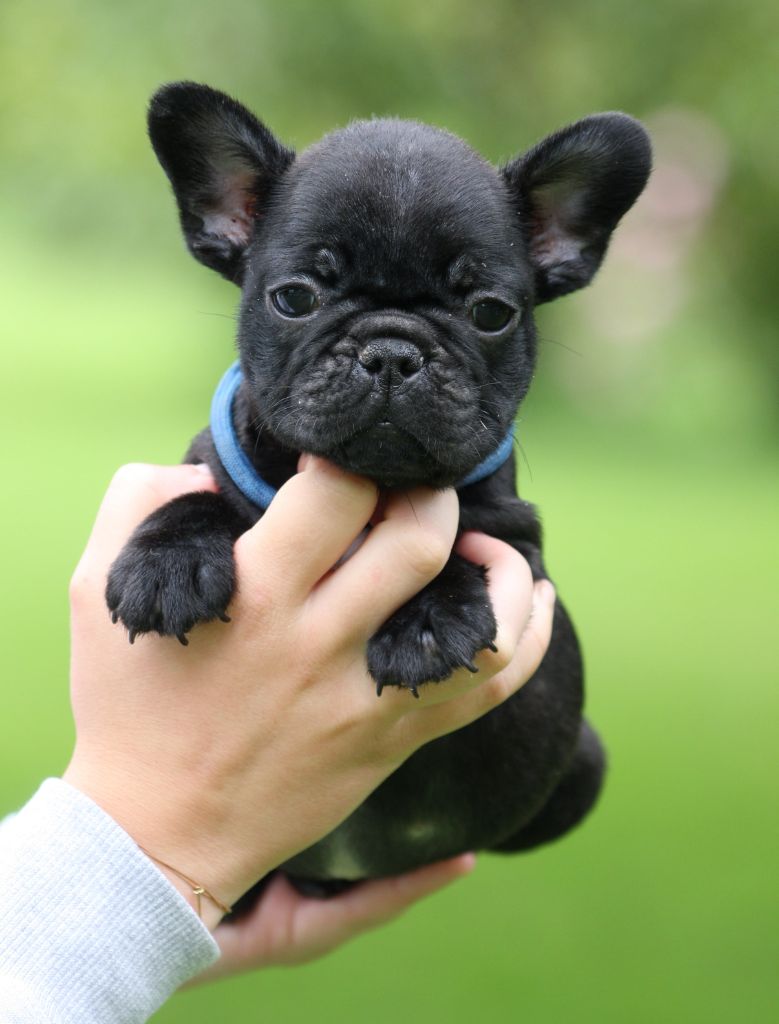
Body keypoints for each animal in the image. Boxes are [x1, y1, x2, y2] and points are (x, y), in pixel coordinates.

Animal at [106, 83, 651, 894]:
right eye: (295, 298)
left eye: (490, 312)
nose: (392, 350)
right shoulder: (214, 460)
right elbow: (201, 496)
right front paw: (165, 562)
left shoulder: (520, 545)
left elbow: (460, 542)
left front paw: (425, 619)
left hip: (582, 764)